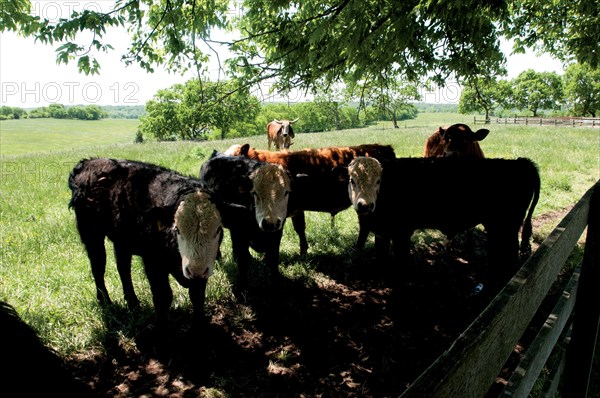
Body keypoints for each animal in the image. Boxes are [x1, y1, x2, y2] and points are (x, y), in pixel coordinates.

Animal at [66, 157, 225, 338]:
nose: (195, 269)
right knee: (98, 266)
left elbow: (197, 295)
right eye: (177, 229)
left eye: (218, 229)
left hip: (121, 241)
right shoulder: (153, 262)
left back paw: (133, 303)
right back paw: (105, 301)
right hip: (91, 235)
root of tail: (86, 163)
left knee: (123, 268)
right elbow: (163, 296)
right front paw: (162, 330)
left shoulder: (203, 268)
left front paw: (199, 328)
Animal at [200, 151, 292, 288]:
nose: (270, 223)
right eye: (254, 193)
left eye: (286, 192)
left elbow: (273, 258)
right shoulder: (240, 232)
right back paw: (218, 259)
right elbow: (244, 260)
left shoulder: (277, 233)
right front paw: (244, 286)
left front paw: (276, 281)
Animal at [344, 155, 540, 282]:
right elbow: (381, 256)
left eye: (378, 181)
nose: (365, 205)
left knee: (509, 252)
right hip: (497, 227)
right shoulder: (382, 232)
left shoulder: (402, 232)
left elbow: (401, 258)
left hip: (506, 225)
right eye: (352, 180)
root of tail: (521, 162)